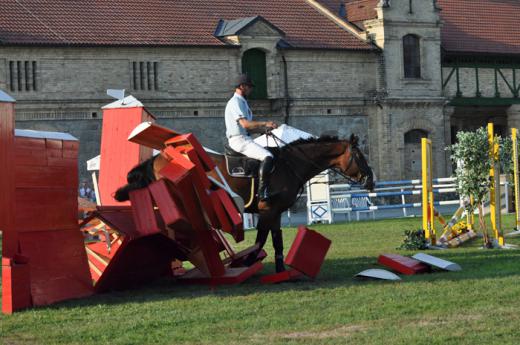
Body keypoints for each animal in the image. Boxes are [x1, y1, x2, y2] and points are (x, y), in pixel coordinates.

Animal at [114, 134, 374, 272]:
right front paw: (248, 261)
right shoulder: (268, 210)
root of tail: (159, 157)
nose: (370, 181)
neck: (289, 165)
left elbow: (275, 241)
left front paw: (278, 269)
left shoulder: (276, 213)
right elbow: (260, 241)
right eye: (359, 156)